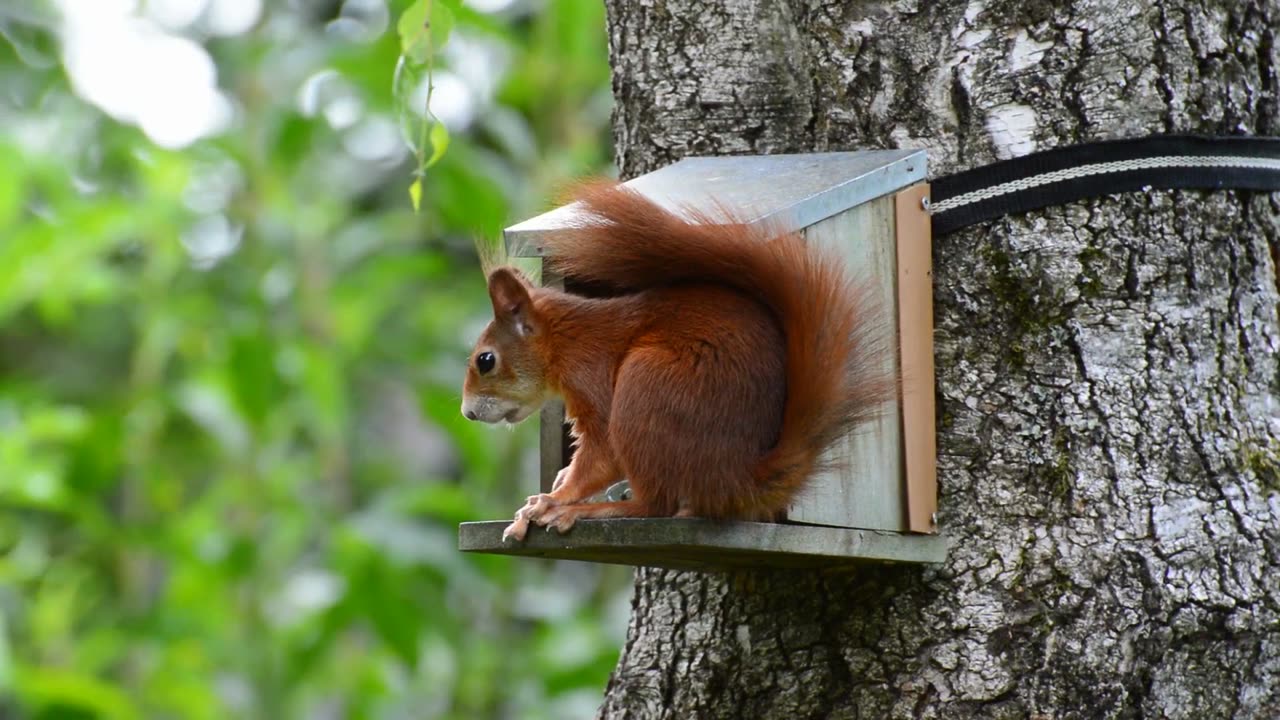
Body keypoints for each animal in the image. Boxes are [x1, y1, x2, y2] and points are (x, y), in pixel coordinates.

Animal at [460, 179, 890, 538]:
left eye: (486, 360)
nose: (467, 413)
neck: (566, 341)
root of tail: (738, 479)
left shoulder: (592, 377)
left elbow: (602, 455)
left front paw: (555, 499)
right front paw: (555, 484)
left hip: (646, 387)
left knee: (655, 505)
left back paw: (588, 511)